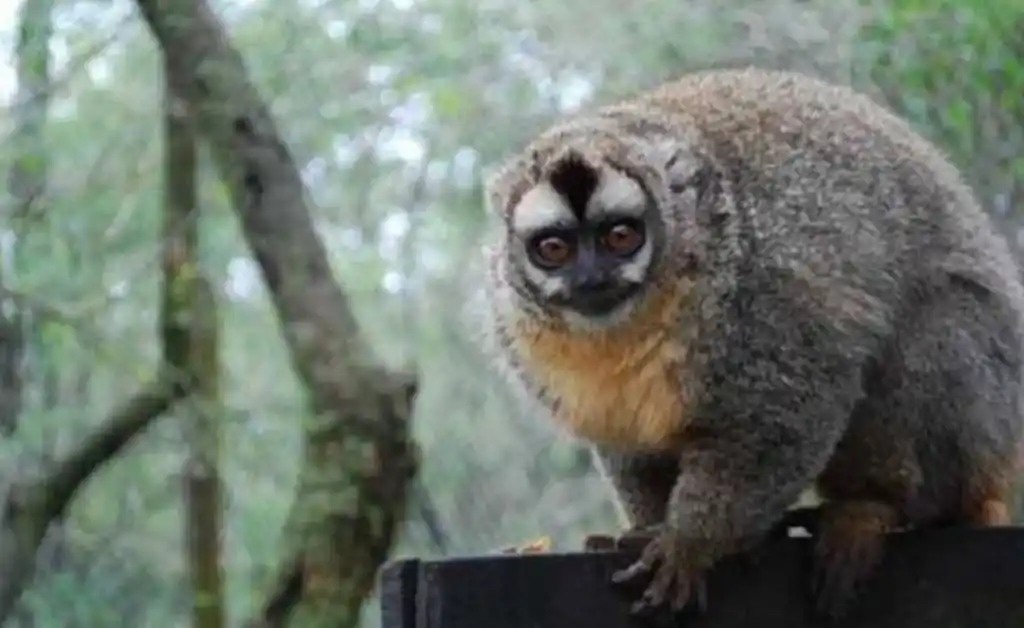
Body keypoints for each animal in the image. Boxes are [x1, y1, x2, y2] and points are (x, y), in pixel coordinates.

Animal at [472, 67, 1024, 621]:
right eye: (553, 249)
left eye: (620, 237)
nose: (591, 279)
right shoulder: (515, 325)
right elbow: (628, 444)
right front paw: (648, 528)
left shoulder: (759, 291)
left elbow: (790, 408)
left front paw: (688, 542)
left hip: (986, 415)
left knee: (925, 334)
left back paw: (874, 506)